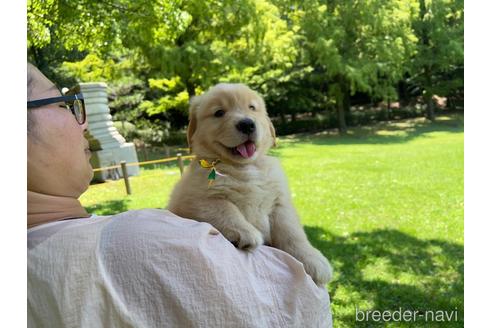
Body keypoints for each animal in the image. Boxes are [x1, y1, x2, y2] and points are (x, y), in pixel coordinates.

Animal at [167, 83, 332, 286]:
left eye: (252, 108)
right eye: (219, 112)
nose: (247, 124)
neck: (245, 167)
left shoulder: (279, 204)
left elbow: (292, 232)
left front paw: (314, 259)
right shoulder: (195, 200)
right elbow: (225, 209)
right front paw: (245, 233)